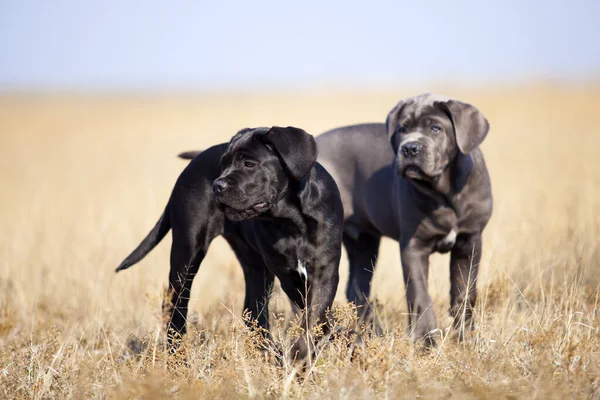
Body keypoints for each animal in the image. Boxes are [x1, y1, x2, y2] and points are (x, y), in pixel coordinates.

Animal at [116, 126, 342, 360]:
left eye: (249, 163)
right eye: (223, 165)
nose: (218, 185)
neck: (291, 221)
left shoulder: (324, 271)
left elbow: (316, 314)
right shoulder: (288, 275)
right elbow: (312, 315)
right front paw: (304, 356)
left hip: (255, 265)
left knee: (253, 310)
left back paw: (269, 353)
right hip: (187, 252)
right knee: (176, 305)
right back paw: (177, 354)